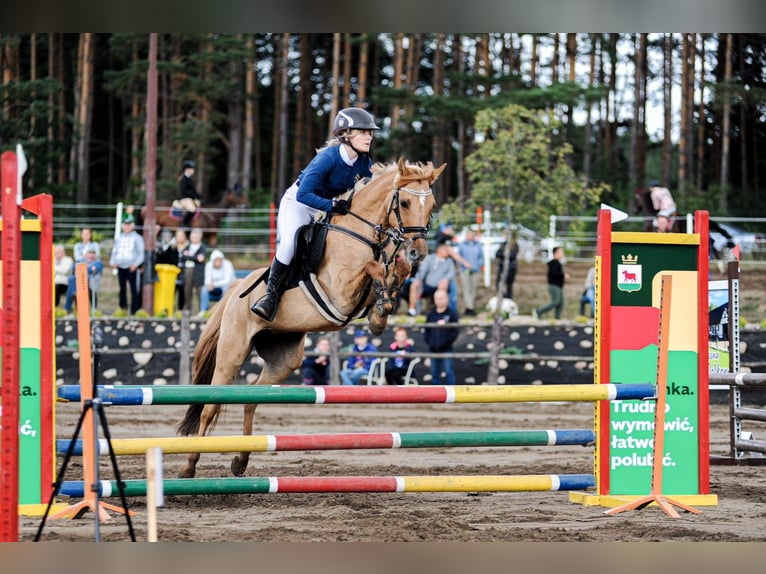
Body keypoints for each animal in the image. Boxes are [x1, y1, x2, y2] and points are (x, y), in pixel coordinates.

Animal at [177, 160, 448, 480]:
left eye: (432, 205)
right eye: (404, 203)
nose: (419, 252)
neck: (360, 232)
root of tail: (234, 288)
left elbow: (396, 270)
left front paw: (381, 311)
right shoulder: (339, 292)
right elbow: (374, 268)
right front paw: (382, 303)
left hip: (285, 357)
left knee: (253, 396)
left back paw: (241, 461)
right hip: (232, 351)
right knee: (210, 405)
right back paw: (188, 466)